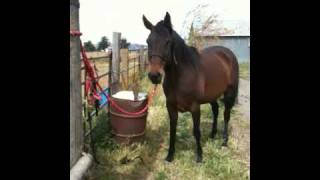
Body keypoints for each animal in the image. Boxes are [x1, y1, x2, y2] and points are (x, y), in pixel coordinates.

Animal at [142, 11, 238, 162]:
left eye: (168, 41)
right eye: (148, 41)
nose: (154, 76)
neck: (181, 75)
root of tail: (228, 53)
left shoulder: (195, 107)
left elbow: (196, 131)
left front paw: (199, 156)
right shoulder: (171, 107)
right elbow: (172, 129)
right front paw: (170, 155)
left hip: (229, 93)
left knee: (226, 115)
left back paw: (224, 141)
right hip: (212, 95)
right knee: (216, 110)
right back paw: (212, 134)